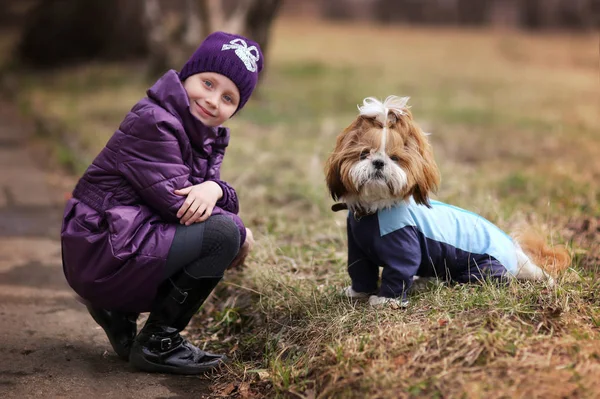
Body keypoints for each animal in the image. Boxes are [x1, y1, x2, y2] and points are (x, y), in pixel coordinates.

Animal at [326, 96, 568, 310]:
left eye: (394, 158)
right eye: (363, 154)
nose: (378, 162)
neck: (376, 211)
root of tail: (516, 254)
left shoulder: (403, 248)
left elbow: (398, 273)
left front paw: (386, 300)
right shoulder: (357, 251)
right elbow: (360, 271)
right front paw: (357, 293)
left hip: (482, 268)